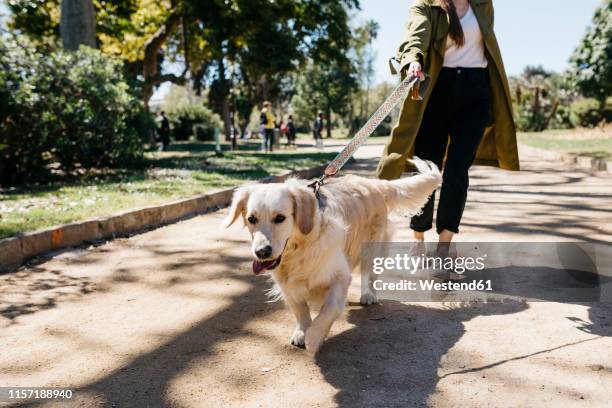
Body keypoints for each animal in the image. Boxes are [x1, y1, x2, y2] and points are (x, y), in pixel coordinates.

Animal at [222, 158, 442, 352]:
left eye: (280, 218)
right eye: (251, 219)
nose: (262, 252)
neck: (301, 247)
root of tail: (373, 183)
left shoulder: (340, 276)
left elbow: (329, 309)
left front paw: (313, 336)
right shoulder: (287, 284)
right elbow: (300, 310)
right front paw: (302, 331)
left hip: (371, 247)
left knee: (368, 274)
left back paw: (368, 295)